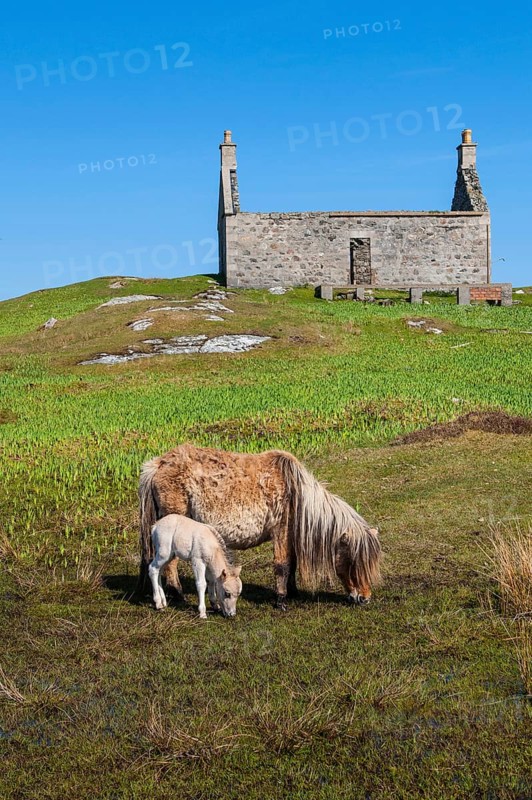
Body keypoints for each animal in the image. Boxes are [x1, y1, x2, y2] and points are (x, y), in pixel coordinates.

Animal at [138, 444, 381, 610]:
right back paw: (178, 595)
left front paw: (293, 592)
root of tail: (158, 464)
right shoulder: (281, 531)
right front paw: (281, 600)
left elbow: (291, 564)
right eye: (354, 563)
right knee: (170, 565)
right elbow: (282, 565)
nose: (365, 598)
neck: (295, 492)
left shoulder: (288, 535)